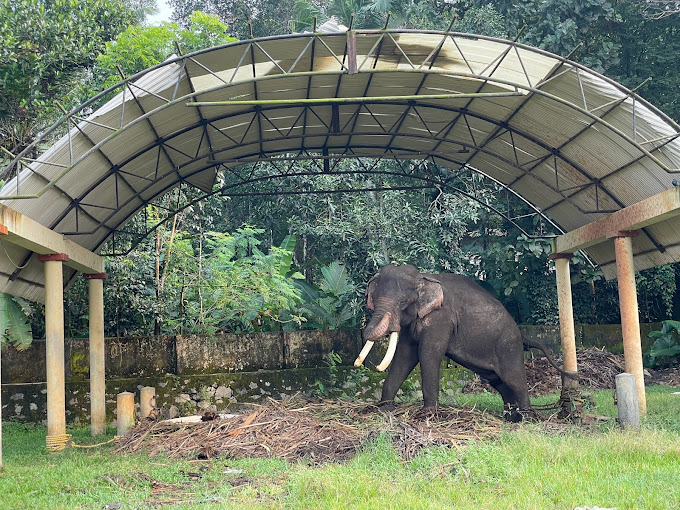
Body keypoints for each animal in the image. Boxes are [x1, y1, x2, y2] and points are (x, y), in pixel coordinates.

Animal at [356, 264, 572, 420]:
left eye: (403, 302)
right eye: (372, 299)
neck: (423, 277)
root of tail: (521, 333)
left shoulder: (441, 318)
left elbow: (428, 354)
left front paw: (428, 415)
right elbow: (404, 357)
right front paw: (384, 409)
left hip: (508, 346)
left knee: (514, 379)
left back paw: (527, 420)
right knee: (499, 382)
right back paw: (511, 418)